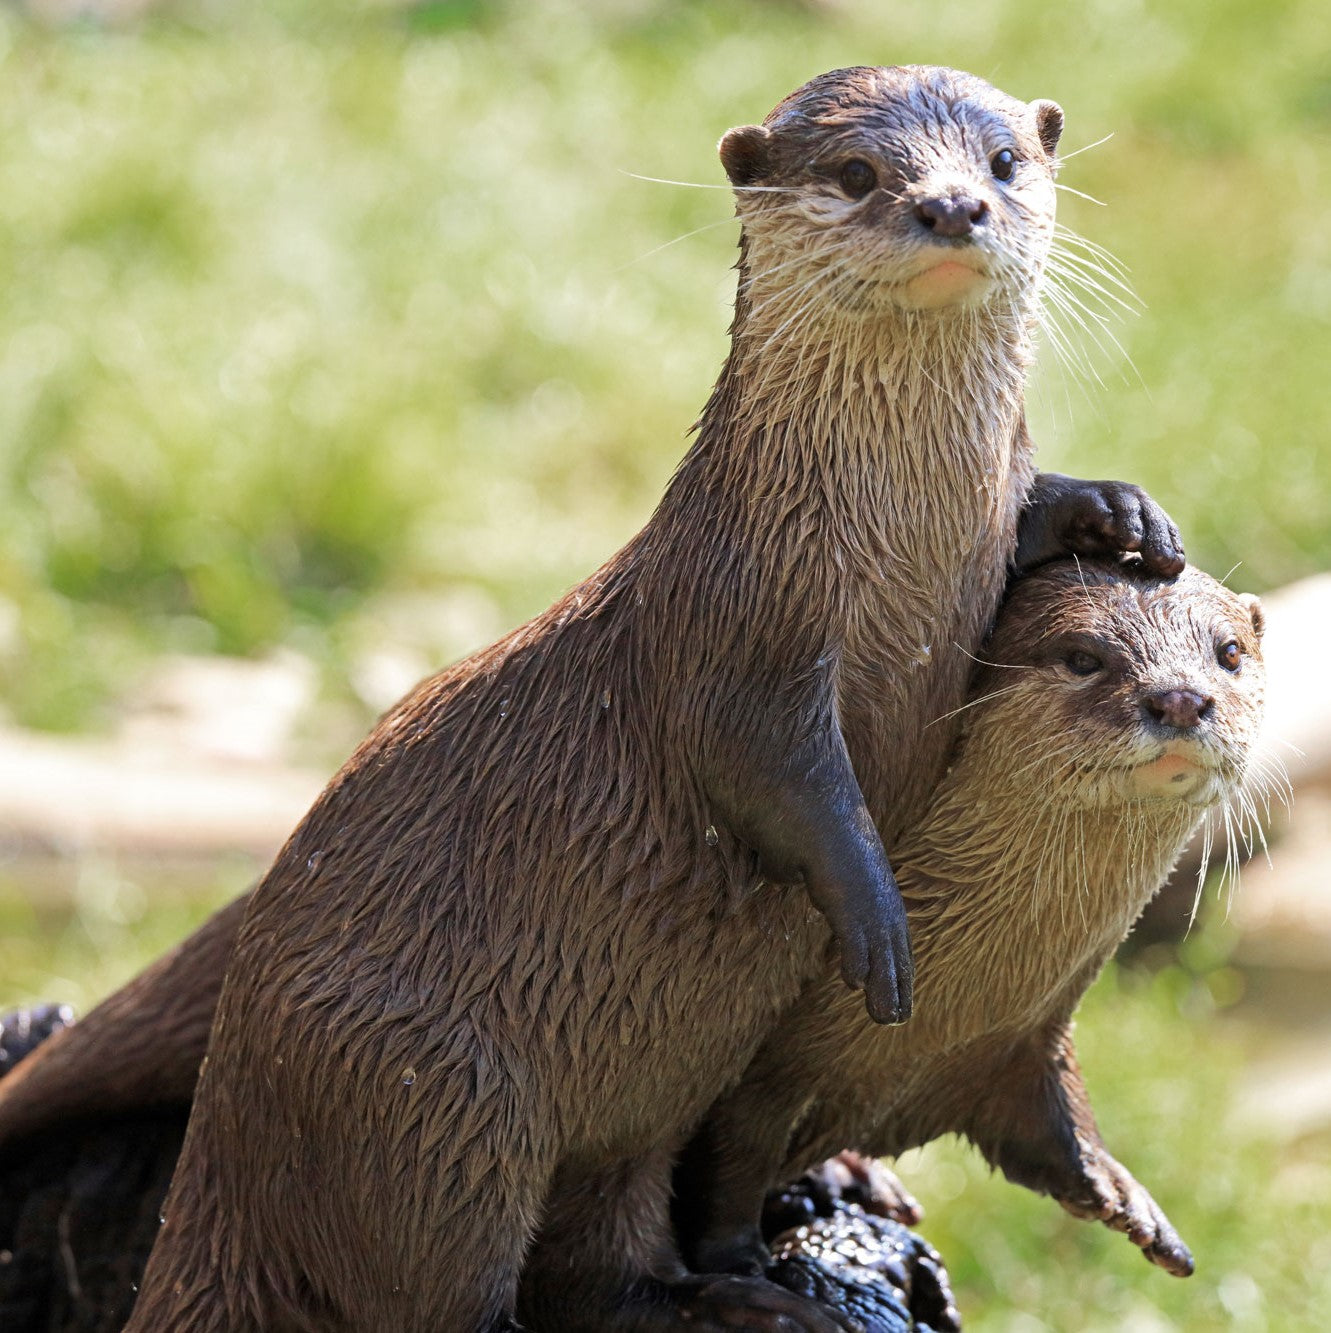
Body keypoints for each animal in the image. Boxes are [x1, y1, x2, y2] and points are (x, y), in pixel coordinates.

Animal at [7, 64, 1189, 1333]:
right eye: (857, 173)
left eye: (1004, 162)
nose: (951, 205)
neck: (891, 556)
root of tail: (222, 1150)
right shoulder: (736, 635)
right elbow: (778, 777)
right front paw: (877, 919)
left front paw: (1113, 513)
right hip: (428, 1098)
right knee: (446, 1284)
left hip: (627, 1109)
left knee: (601, 1260)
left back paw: (744, 1298)